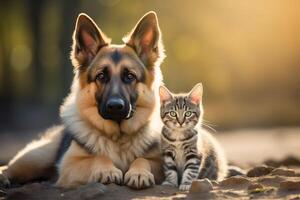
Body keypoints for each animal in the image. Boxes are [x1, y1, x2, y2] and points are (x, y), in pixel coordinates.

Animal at [0, 10, 164, 189]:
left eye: (129, 76)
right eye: (101, 76)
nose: (115, 106)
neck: (117, 139)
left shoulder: (159, 163)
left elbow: (142, 159)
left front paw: (139, 173)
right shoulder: (69, 165)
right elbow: (98, 157)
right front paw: (107, 170)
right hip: (37, 159)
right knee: (8, 168)